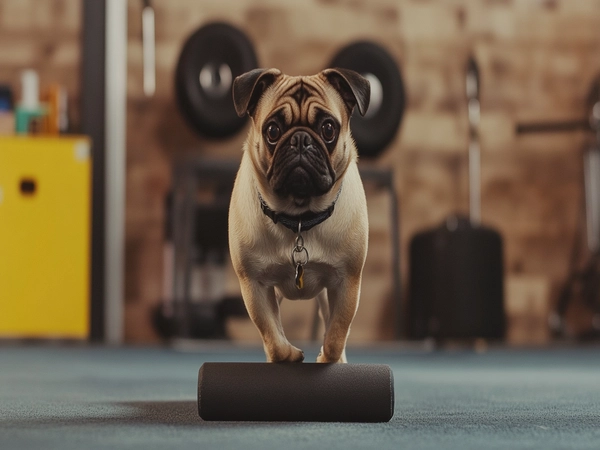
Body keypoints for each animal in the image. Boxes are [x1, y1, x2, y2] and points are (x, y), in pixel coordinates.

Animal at [230, 68, 370, 364]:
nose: (300, 139)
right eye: (273, 130)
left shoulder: (347, 283)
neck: (299, 218)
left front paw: (328, 358)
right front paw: (288, 355)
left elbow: (336, 335)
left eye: (328, 129)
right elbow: (272, 336)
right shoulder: (255, 285)